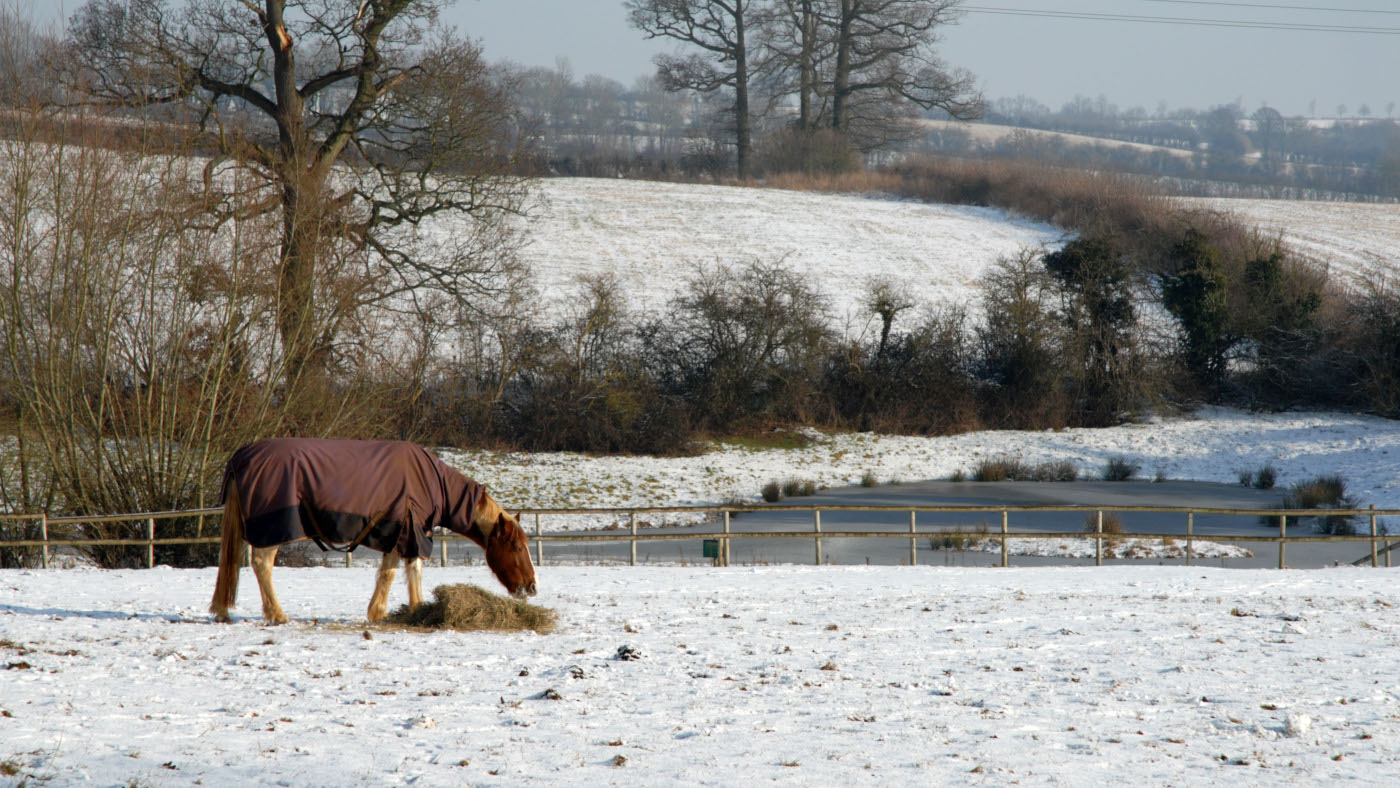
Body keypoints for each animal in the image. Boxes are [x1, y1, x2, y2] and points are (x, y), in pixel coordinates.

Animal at [209, 438, 536, 625]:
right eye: (517, 547)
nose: (532, 587)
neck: (431, 482)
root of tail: (241, 457)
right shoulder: (406, 532)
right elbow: (397, 572)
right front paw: (389, 612)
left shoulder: (403, 534)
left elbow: (404, 571)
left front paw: (409, 610)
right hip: (275, 530)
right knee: (261, 564)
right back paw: (277, 614)